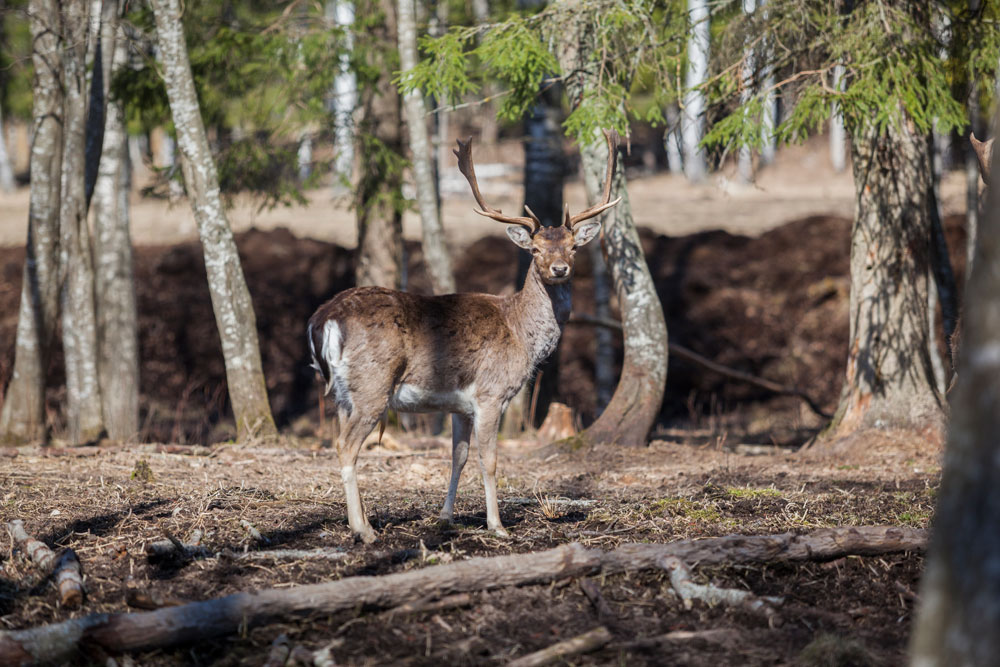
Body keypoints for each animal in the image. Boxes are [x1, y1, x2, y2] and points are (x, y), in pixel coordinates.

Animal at [308, 129, 622, 543]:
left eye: (573, 247)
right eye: (535, 249)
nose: (559, 268)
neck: (521, 334)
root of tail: (324, 318)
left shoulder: (458, 404)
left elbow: (458, 456)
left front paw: (445, 517)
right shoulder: (491, 392)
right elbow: (490, 460)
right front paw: (498, 525)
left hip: (344, 391)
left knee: (340, 442)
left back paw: (361, 524)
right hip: (373, 383)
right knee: (346, 446)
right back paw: (365, 531)